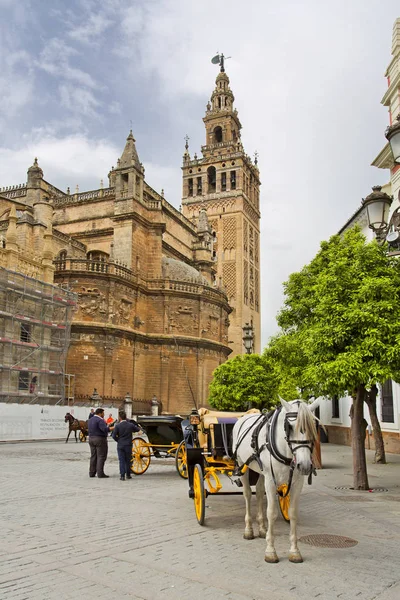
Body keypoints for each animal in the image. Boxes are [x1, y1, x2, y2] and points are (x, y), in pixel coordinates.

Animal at [231, 398, 318, 564]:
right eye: (289, 427)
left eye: (313, 426)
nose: (304, 465)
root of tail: (244, 417)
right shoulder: (271, 481)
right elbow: (271, 513)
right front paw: (270, 551)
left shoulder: (297, 483)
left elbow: (293, 513)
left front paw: (294, 551)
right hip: (242, 465)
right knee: (247, 495)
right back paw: (249, 530)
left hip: (261, 472)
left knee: (259, 493)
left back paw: (262, 528)